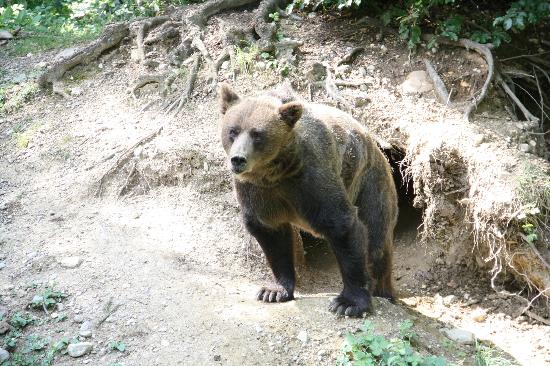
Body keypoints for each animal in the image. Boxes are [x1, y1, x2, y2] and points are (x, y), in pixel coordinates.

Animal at [220, 83, 402, 318]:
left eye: (257, 134)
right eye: (232, 131)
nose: (238, 159)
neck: (276, 173)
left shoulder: (312, 179)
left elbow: (342, 225)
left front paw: (349, 303)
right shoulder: (258, 192)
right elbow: (271, 234)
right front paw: (273, 291)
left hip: (370, 185)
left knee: (377, 242)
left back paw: (384, 293)